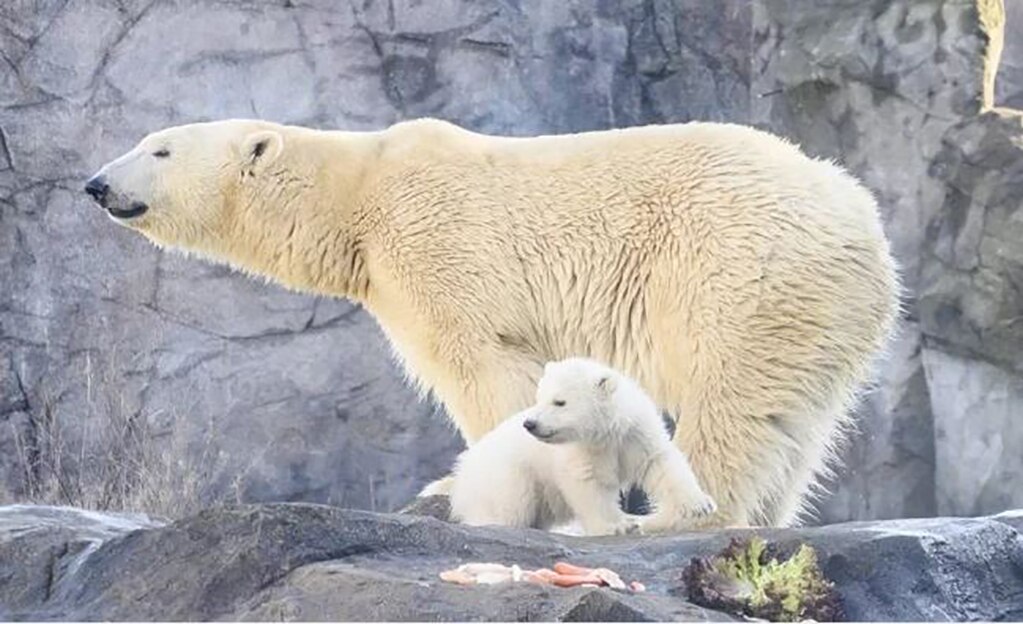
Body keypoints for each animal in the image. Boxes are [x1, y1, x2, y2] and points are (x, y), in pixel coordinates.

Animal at [449, 357, 716, 536]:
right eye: (539, 398)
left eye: (559, 402)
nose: (530, 424)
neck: (606, 434)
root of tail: (461, 473)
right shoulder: (581, 452)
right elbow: (587, 486)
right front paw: (615, 525)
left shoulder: (636, 435)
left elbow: (660, 464)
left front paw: (701, 504)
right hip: (507, 475)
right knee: (510, 506)